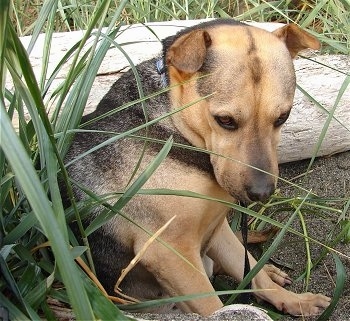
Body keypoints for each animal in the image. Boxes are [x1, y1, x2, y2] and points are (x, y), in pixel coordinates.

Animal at [65, 19, 330, 316]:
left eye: (283, 117)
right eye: (225, 120)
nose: (262, 193)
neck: (174, 125)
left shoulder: (217, 227)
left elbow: (254, 273)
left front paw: (294, 300)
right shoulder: (170, 252)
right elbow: (213, 304)